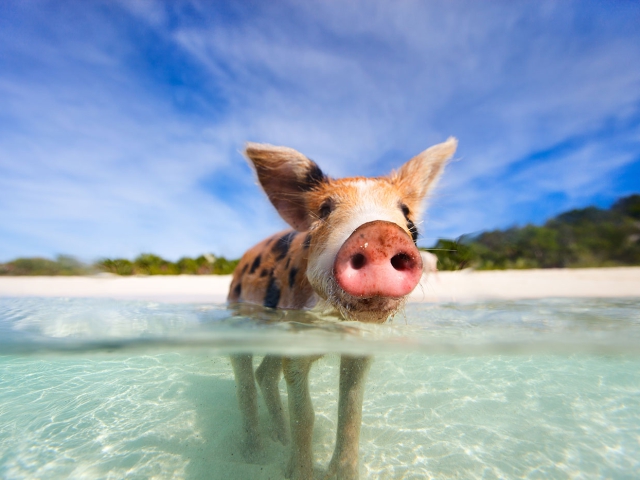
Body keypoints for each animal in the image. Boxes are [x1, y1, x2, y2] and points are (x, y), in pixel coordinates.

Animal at [228, 138, 457, 479]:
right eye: (325, 210)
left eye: (406, 214)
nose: (379, 233)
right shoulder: (296, 342)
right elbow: (305, 416)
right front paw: (299, 474)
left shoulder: (360, 347)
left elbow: (350, 412)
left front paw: (341, 473)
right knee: (245, 378)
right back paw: (255, 454)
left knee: (264, 374)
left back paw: (279, 438)